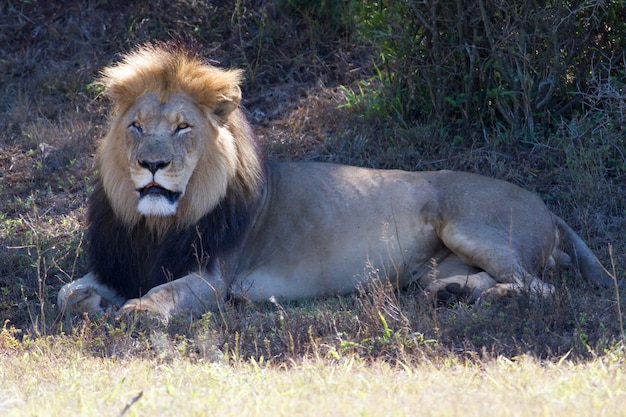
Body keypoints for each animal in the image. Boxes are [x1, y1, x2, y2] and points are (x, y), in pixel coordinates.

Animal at [56, 42, 612, 320]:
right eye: (136, 126)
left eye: (182, 128)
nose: (151, 164)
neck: (158, 224)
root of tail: (546, 205)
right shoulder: (121, 262)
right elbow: (67, 292)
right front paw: (90, 302)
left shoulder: (215, 278)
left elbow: (167, 293)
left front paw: (139, 310)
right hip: (435, 266)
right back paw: (454, 294)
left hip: (468, 226)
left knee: (541, 288)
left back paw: (490, 300)